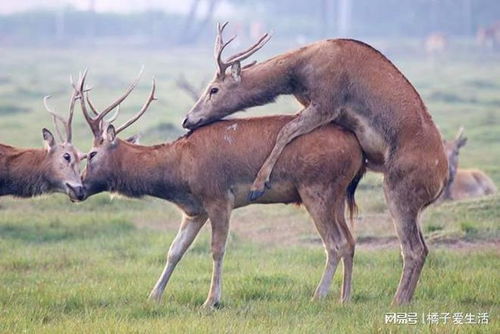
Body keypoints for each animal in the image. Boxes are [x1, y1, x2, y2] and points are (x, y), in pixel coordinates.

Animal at [74, 70, 366, 308]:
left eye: (91, 154)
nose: (79, 188)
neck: (178, 171)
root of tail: (358, 150)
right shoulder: (195, 210)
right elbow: (174, 250)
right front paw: (154, 295)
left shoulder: (218, 197)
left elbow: (217, 249)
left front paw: (211, 300)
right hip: (337, 194)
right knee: (350, 241)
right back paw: (345, 297)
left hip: (316, 189)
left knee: (335, 243)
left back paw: (319, 295)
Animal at [181, 22, 450, 306]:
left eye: (214, 89)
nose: (187, 119)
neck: (298, 72)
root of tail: (442, 178)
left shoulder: (326, 103)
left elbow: (286, 130)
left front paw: (258, 184)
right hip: (413, 204)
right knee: (422, 247)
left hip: (399, 189)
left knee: (413, 249)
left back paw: (396, 300)